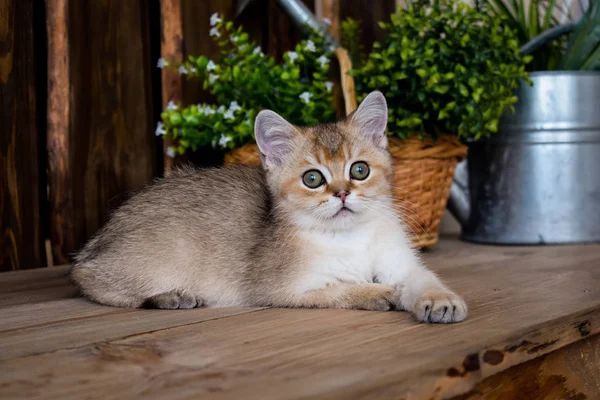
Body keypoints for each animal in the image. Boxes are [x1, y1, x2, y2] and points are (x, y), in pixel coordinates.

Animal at [71, 92, 468, 324]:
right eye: (313, 178)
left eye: (359, 170)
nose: (341, 194)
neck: (349, 238)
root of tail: (98, 241)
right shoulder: (283, 289)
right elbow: (339, 288)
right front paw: (375, 293)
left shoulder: (400, 263)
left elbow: (422, 279)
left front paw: (441, 299)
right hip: (163, 254)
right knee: (88, 278)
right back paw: (168, 296)